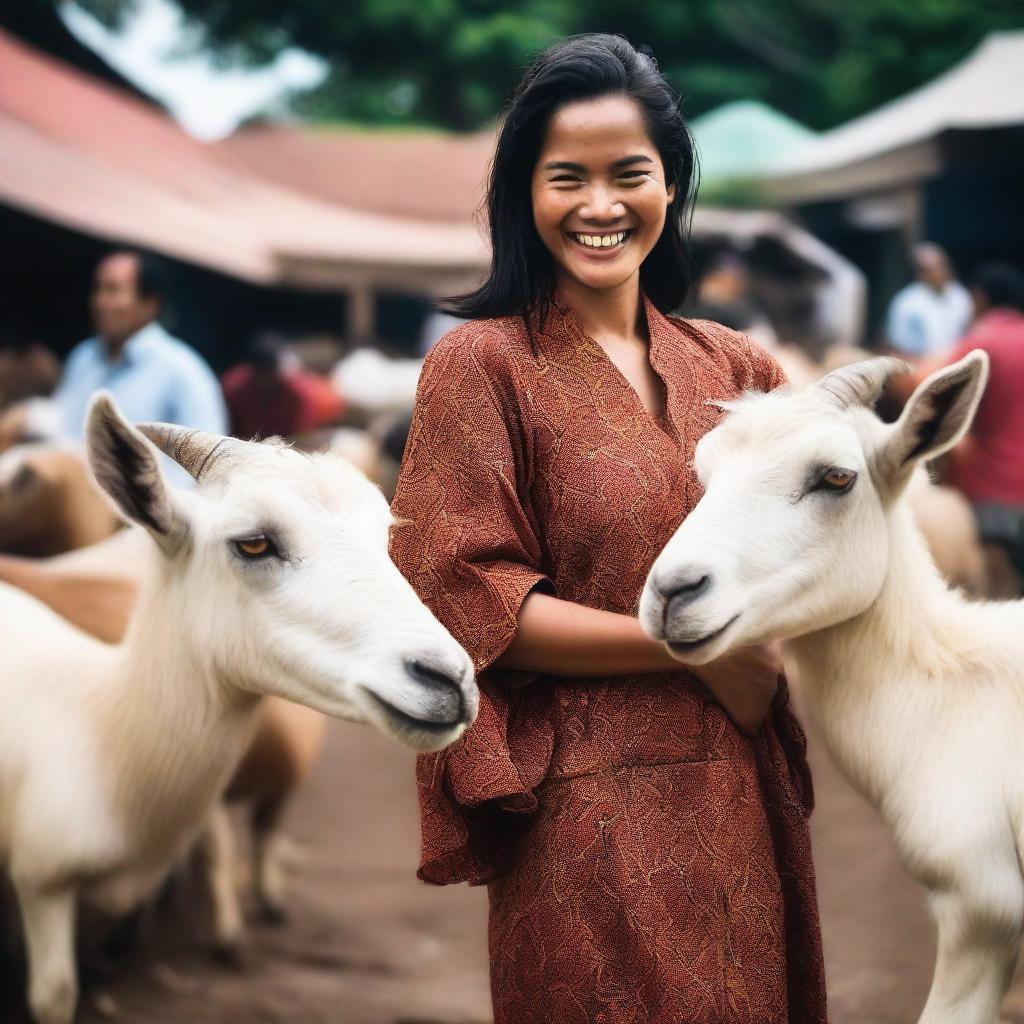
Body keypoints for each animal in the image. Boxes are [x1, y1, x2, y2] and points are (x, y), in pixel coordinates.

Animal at [0, 393, 479, 1024]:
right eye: (253, 542)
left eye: (384, 539)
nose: (450, 680)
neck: (103, 731)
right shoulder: (42, 884)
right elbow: (53, 996)